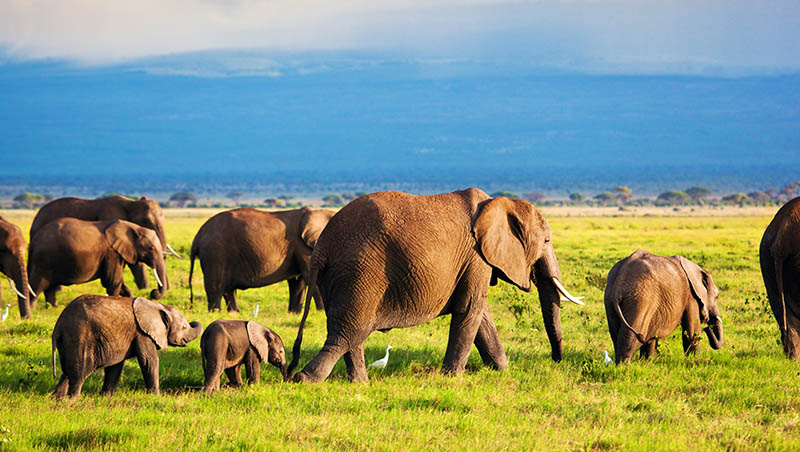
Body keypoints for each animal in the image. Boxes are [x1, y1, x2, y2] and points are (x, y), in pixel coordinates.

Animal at [28, 218, 168, 306]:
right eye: (151, 248)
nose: (153, 293)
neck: (133, 226)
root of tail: (34, 241)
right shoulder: (111, 253)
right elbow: (113, 282)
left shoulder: (118, 253)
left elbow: (119, 283)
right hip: (44, 260)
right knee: (37, 286)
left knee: (50, 288)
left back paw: (53, 308)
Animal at [51, 294, 202, 398]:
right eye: (184, 327)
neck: (158, 306)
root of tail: (58, 325)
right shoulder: (142, 333)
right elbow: (149, 361)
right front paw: (156, 396)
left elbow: (115, 366)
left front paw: (105, 397)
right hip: (79, 338)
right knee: (79, 372)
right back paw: (73, 399)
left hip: (68, 342)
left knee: (67, 372)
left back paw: (57, 398)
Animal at [189, 207, 334, 312]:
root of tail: (198, 236)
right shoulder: (304, 246)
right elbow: (312, 277)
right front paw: (322, 312)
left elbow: (297, 282)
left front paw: (293, 314)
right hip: (216, 253)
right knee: (216, 287)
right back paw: (216, 313)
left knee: (229, 290)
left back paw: (234, 313)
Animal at [288, 188, 584, 383]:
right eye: (546, 241)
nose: (556, 360)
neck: (497, 203)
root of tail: (323, 246)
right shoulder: (476, 257)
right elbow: (470, 310)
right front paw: (452, 378)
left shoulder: (474, 262)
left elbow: (482, 316)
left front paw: (501, 370)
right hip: (361, 272)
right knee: (347, 333)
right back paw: (306, 379)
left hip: (342, 277)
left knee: (351, 333)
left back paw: (359, 383)